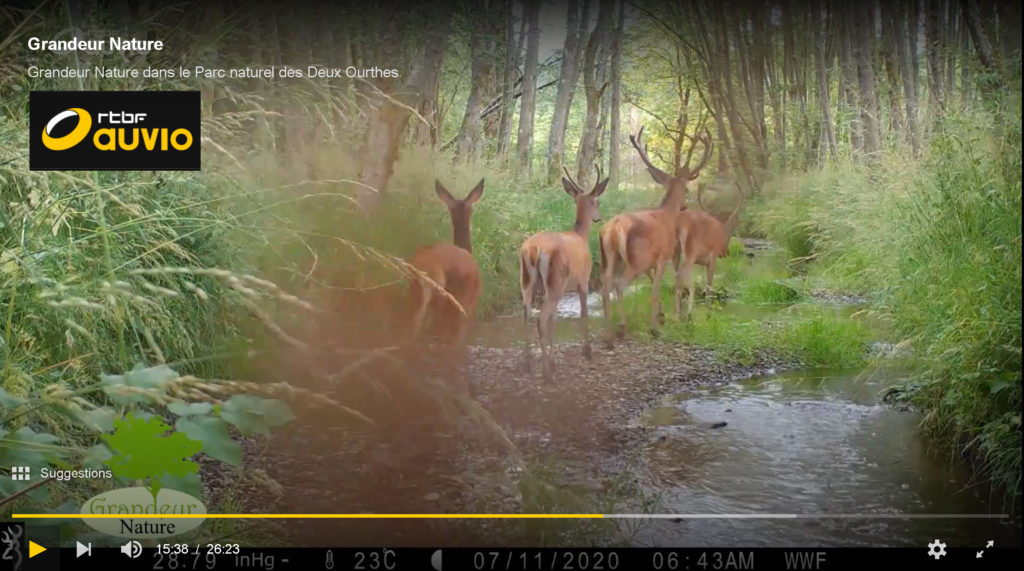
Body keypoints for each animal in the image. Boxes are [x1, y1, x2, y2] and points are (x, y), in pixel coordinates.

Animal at [520, 166, 606, 380]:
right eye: (596, 201)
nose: (598, 218)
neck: (581, 236)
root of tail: (533, 249)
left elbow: (555, 320)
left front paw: (554, 360)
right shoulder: (584, 281)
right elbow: (583, 313)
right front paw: (587, 351)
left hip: (527, 281)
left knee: (527, 314)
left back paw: (528, 364)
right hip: (555, 280)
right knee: (541, 319)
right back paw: (546, 372)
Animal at [598, 126, 712, 347]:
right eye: (686, 189)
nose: (684, 206)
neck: (667, 215)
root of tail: (615, 227)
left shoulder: (651, 263)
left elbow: (653, 286)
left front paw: (661, 317)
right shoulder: (662, 257)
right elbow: (656, 289)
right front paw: (655, 327)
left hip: (609, 256)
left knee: (605, 285)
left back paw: (607, 333)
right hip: (637, 259)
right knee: (619, 284)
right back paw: (622, 327)